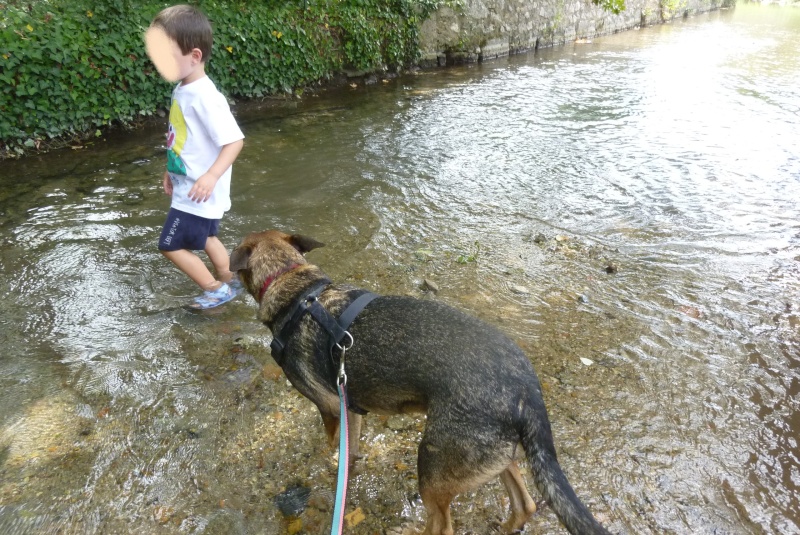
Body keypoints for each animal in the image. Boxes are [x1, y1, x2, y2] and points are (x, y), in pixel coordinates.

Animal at [231, 230, 612, 535]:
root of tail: (527, 388)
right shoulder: (350, 409)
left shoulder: (330, 406)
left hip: (432, 465)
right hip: (498, 458)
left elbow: (333, 445)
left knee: (441, 526)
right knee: (525, 504)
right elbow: (351, 449)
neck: (298, 292)